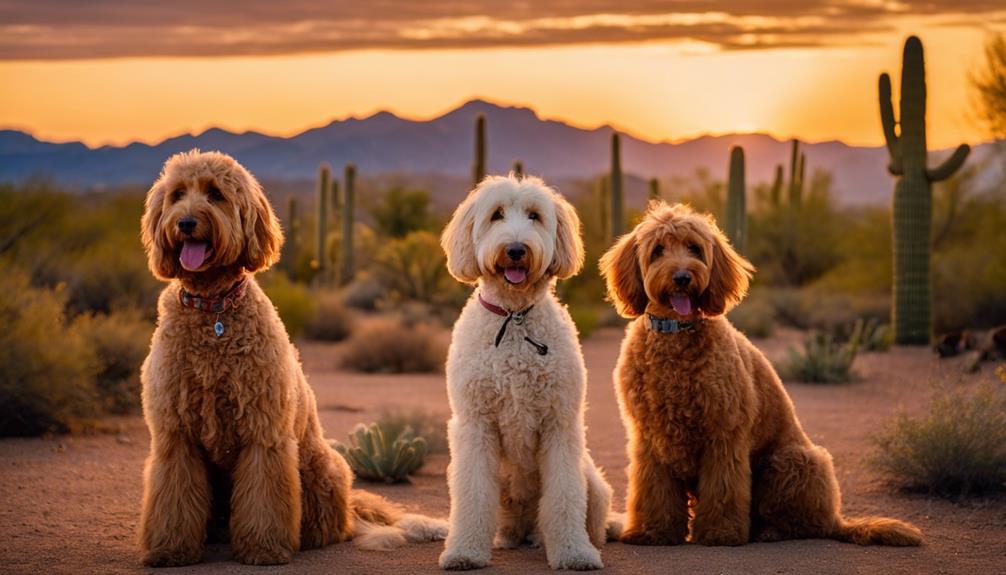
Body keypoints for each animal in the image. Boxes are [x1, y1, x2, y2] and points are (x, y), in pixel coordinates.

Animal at [136, 147, 444, 566]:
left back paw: (309, 536)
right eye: (177, 195)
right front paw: (170, 549)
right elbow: (173, 498)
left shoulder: (264, 434)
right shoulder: (176, 435)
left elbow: (264, 500)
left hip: (322, 466)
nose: (185, 222)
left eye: (215, 194)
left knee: (331, 523)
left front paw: (264, 549)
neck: (212, 310)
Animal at [440, 174, 619, 570]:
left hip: (594, 484)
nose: (516, 249)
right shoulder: (475, 423)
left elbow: (564, 497)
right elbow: (472, 494)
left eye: (535, 216)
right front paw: (464, 551)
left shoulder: (560, 422)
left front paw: (574, 552)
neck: (515, 317)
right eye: (496, 215)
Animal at [595, 202, 921, 546]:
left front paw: (720, 533)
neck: (676, 334)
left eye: (694, 248)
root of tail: (836, 519)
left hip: (793, 462)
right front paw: (652, 532)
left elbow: (723, 490)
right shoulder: (648, 439)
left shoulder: (724, 434)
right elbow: (653, 490)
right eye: (658, 250)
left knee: (803, 523)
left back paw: (769, 531)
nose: (682, 277)